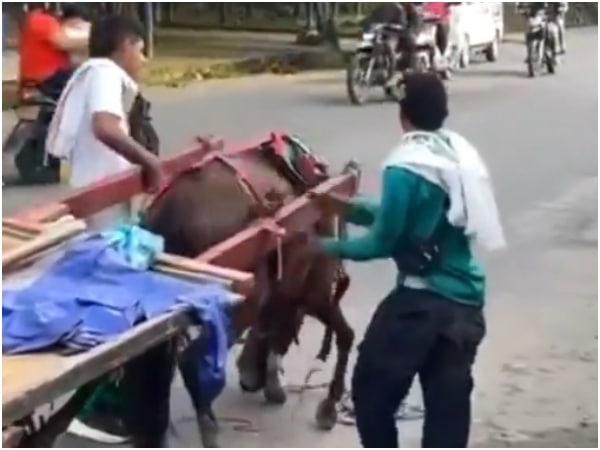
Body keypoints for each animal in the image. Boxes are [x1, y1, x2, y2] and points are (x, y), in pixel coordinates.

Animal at [141, 134, 356, 446]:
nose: (250, 380)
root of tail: (175, 210)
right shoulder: (313, 290)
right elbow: (345, 336)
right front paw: (329, 405)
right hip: (244, 302)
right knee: (189, 359)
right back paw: (208, 429)